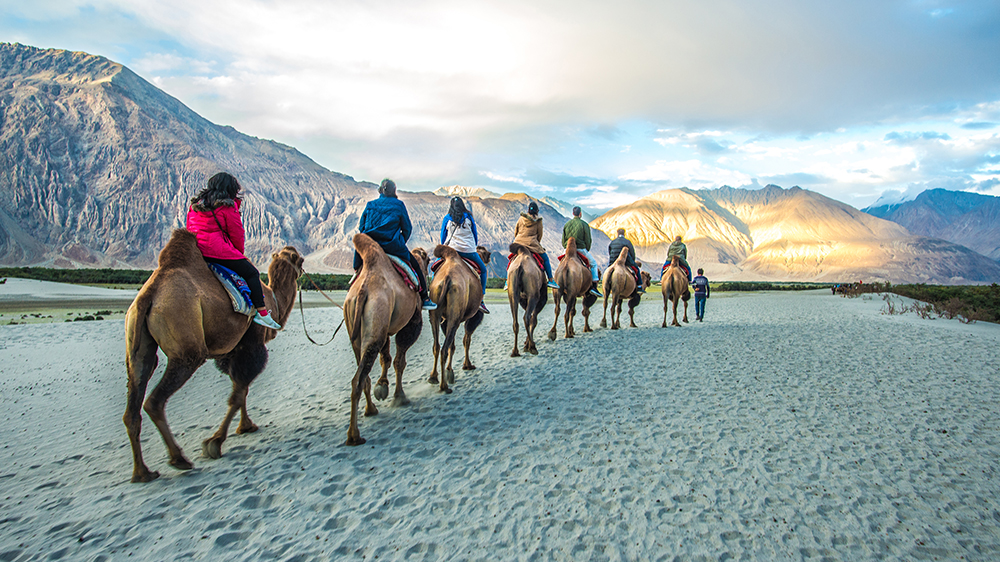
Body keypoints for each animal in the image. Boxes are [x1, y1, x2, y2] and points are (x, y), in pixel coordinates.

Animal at [122, 228, 300, 482]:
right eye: (300, 260)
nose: (302, 270)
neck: (273, 298)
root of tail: (149, 296)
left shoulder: (233, 349)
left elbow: (240, 389)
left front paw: (245, 426)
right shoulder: (251, 343)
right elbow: (238, 392)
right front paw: (215, 442)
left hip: (138, 350)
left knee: (133, 404)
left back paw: (142, 472)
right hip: (187, 351)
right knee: (154, 401)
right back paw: (179, 459)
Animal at [344, 231, 430, 442]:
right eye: (429, 261)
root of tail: (363, 290)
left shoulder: (386, 327)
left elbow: (386, 358)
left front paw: (382, 386)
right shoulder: (412, 322)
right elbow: (399, 360)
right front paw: (399, 397)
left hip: (361, 329)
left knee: (362, 372)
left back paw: (370, 410)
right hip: (377, 313)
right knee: (360, 376)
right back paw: (354, 435)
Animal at [428, 243, 494, 392]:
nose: (489, 257)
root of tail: (447, 278)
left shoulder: (446, 319)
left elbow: (453, 345)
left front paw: (450, 371)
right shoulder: (473, 317)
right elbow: (466, 340)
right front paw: (467, 365)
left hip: (436, 308)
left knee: (437, 346)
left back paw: (433, 377)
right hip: (456, 312)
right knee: (444, 349)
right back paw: (444, 386)